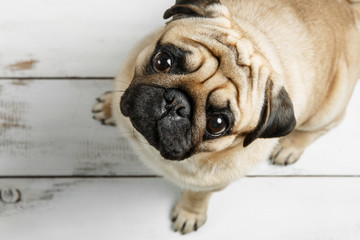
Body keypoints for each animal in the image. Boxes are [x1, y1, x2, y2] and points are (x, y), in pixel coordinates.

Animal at [93, 0, 360, 233]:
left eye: (218, 124)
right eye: (162, 61)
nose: (176, 103)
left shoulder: (212, 184)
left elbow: (197, 196)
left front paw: (190, 213)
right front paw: (108, 107)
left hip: (329, 109)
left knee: (322, 127)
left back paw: (290, 147)